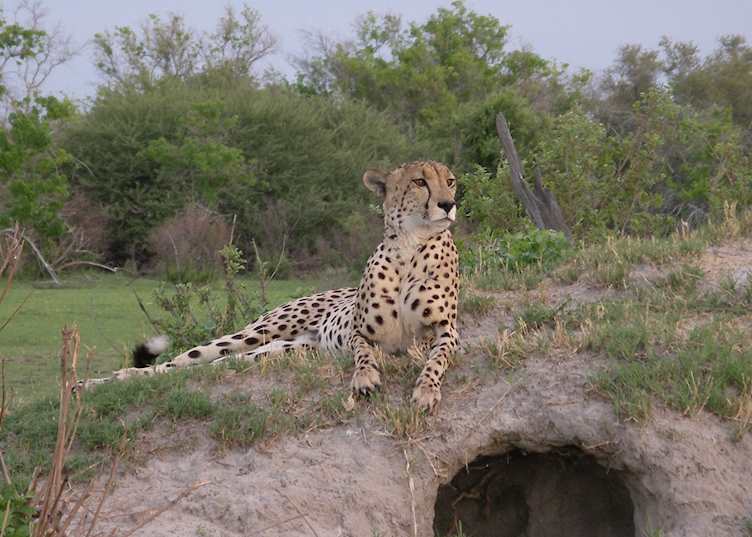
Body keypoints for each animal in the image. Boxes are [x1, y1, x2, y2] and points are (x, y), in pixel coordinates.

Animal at [83, 161, 460, 411]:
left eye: (450, 181)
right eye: (419, 182)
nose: (448, 204)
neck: (410, 247)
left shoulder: (447, 331)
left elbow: (436, 361)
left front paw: (426, 391)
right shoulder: (359, 332)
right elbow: (363, 352)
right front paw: (365, 377)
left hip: (279, 351)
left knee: (206, 367)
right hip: (254, 334)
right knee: (173, 363)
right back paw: (88, 385)